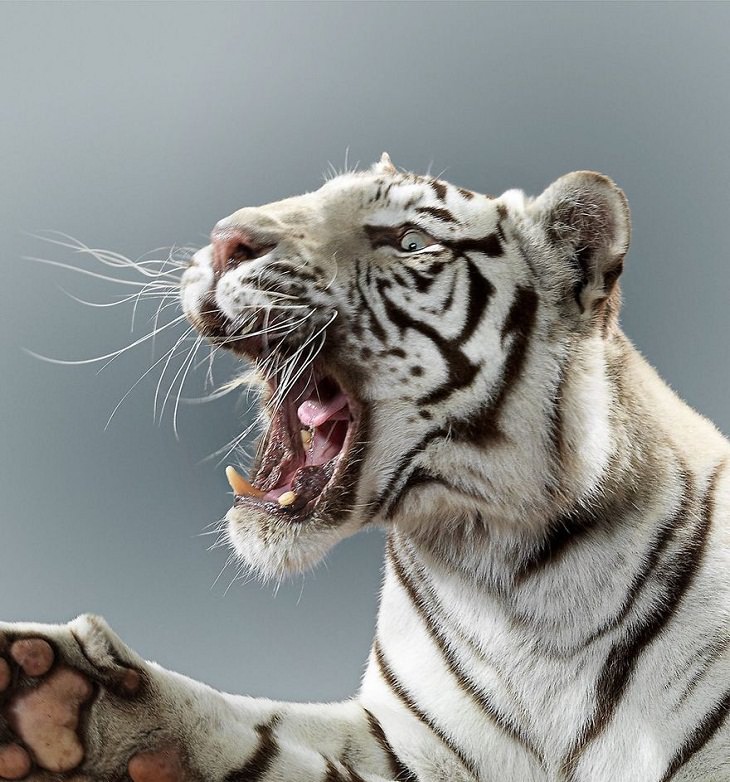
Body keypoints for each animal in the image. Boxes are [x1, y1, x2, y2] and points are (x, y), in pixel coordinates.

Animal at [0, 155, 724, 782]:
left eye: (410, 240)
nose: (225, 239)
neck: (511, 579)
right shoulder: (404, 742)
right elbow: (260, 739)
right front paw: (56, 700)